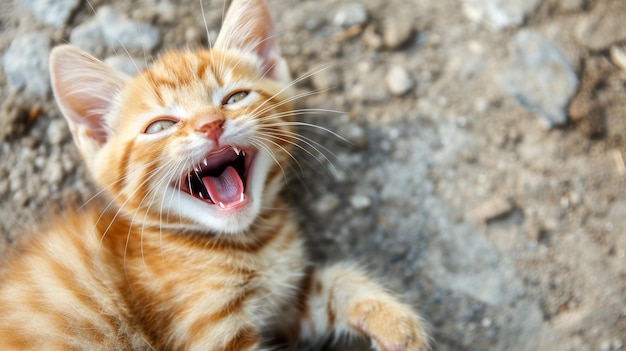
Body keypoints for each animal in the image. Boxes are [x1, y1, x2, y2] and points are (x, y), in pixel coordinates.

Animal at [0, 0, 426, 350]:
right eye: (160, 126)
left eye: (235, 98)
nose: (210, 124)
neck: (249, 243)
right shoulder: (211, 332)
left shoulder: (285, 301)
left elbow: (331, 282)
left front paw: (395, 323)